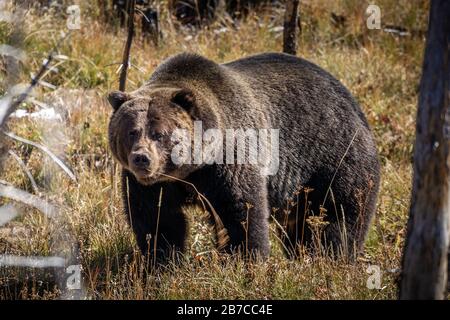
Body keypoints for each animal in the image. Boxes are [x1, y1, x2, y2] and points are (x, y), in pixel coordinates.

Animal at [108, 52, 380, 262]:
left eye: (159, 133)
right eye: (131, 131)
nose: (142, 158)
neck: (191, 170)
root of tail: (351, 100)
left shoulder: (229, 160)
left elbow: (242, 213)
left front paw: (245, 261)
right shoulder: (151, 185)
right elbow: (157, 220)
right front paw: (160, 261)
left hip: (333, 156)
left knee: (339, 215)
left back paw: (332, 257)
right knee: (301, 227)